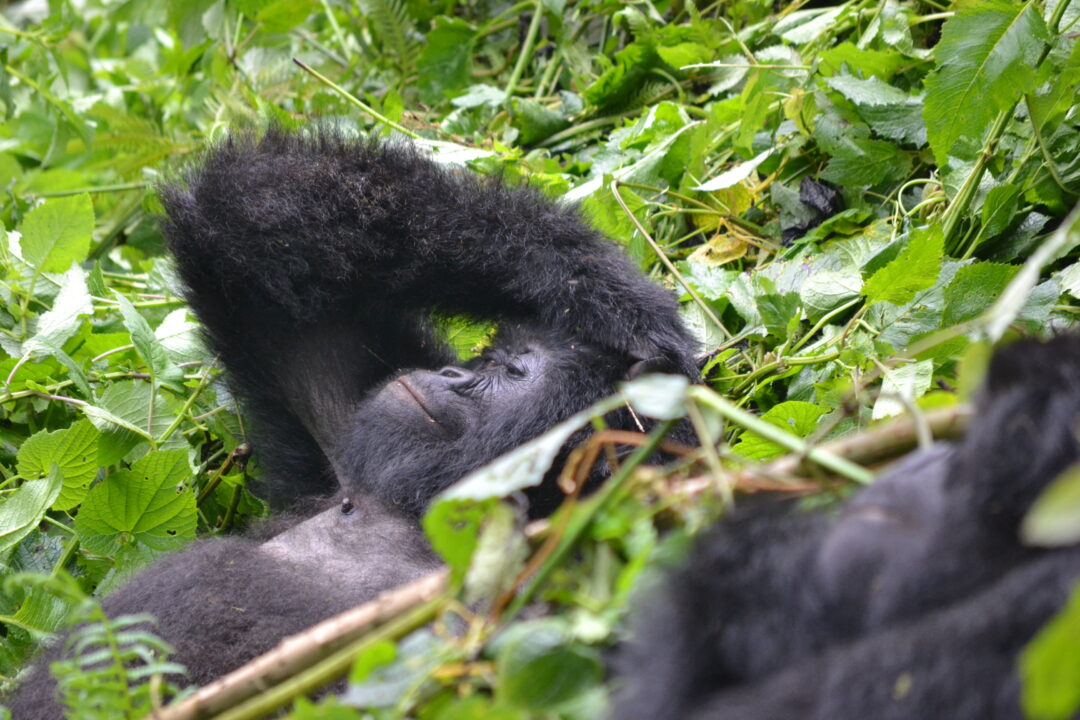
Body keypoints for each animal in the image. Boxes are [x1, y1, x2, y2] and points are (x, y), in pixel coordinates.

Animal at [4, 127, 695, 716]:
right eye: (489, 357)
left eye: (514, 373)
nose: (450, 374)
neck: (417, 519)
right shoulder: (341, 455)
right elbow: (260, 219)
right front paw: (600, 289)